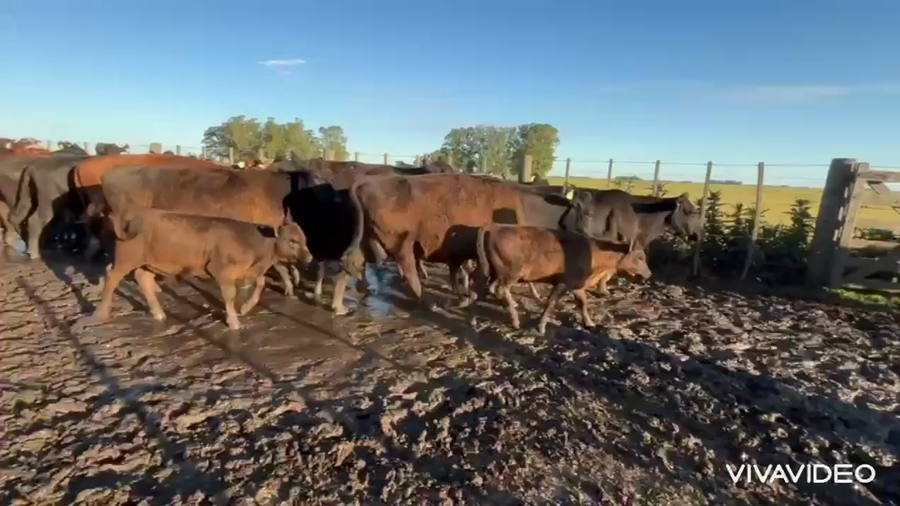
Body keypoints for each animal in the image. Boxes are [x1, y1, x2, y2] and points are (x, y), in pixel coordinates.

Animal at [92, 209, 313, 330]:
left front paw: (246, 307)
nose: (310, 258)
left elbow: (260, 283)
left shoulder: (249, 270)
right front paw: (234, 322)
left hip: (148, 261)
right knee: (112, 275)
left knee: (142, 277)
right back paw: (101, 313)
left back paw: (158, 313)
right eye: (292, 241)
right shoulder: (221, 270)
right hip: (126, 259)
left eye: (304, 238)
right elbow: (230, 296)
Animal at [337, 174, 617, 314]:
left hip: (368, 242)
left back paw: (339, 305)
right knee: (408, 272)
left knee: (349, 265)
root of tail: (367, 182)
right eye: (588, 213)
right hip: (401, 244)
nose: (597, 238)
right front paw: (470, 297)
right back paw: (428, 303)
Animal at [466, 225, 652, 335]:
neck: (594, 251)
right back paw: (514, 319)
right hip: (511, 273)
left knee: (479, 290)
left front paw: (589, 323)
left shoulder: (576, 285)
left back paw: (474, 320)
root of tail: (492, 228)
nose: (649, 274)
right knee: (499, 289)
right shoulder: (563, 283)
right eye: (641, 257)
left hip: (487, 271)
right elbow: (551, 302)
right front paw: (541, 326)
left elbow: (582, 303)